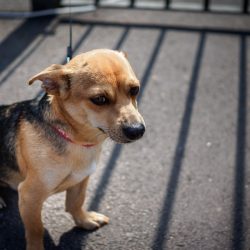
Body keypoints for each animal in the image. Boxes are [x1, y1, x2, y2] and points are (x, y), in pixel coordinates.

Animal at [0, 49, 146, 250]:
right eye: (99, 99)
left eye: (135, 89)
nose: (137, 130)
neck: (78, 141)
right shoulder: (30, 195)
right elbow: (35, 230)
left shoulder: (81, 179)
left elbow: (76, 202)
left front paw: (85, 221)